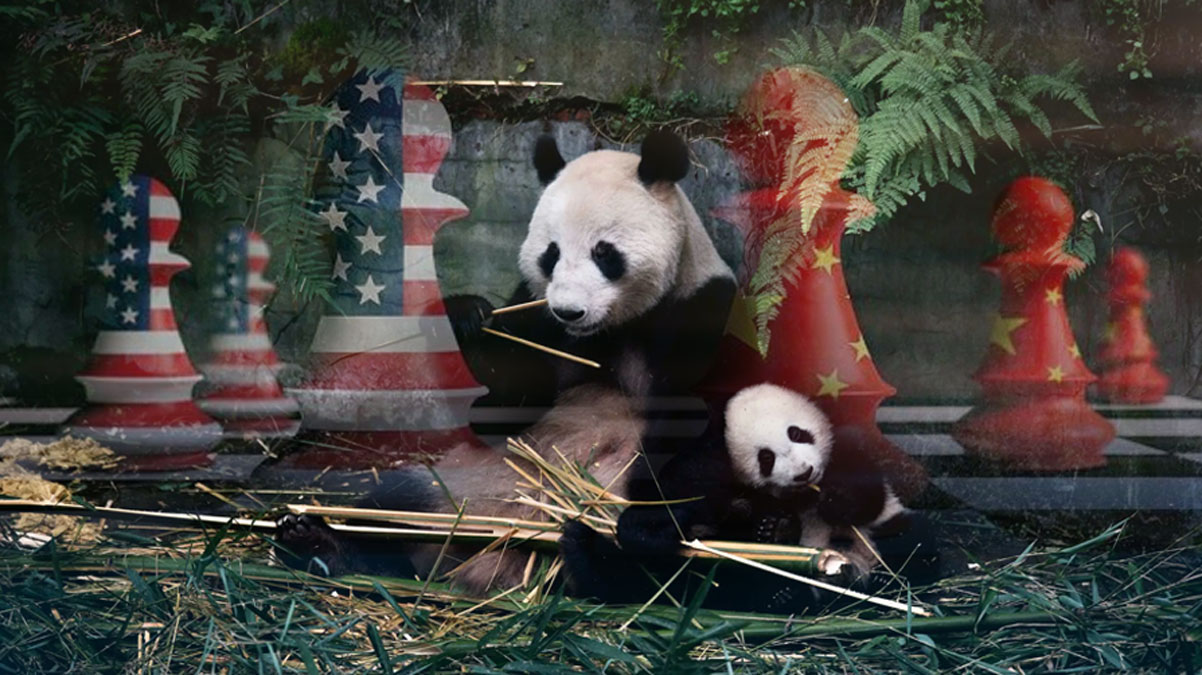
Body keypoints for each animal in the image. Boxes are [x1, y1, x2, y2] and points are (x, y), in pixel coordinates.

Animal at [276, 129, 737, 593]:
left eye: (604, 253)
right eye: (551, 254)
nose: (570, 311)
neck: (608, 332)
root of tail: (494, 566)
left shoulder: (700, 312)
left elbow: (697, 428)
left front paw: (646, 525)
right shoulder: (538, 318)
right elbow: (499, 414)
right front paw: (466, 317)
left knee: (681, 573)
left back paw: (594, 557)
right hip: (456, 485)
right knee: (393, 504)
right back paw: (321, 543)